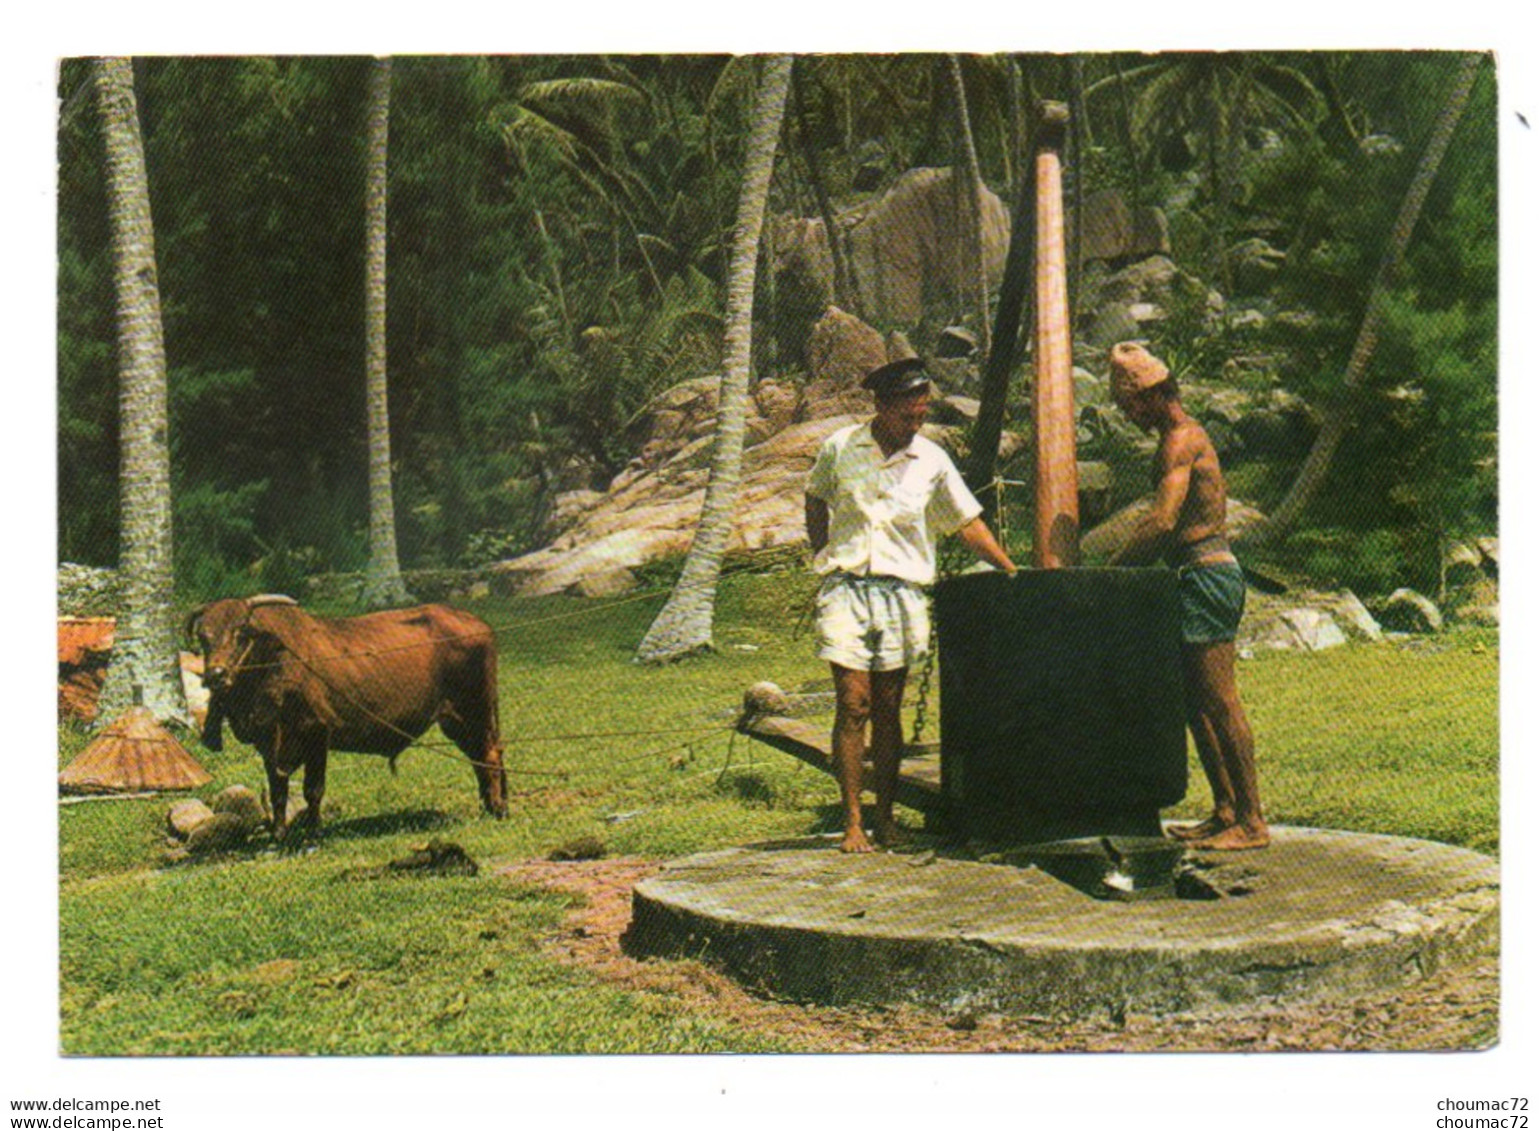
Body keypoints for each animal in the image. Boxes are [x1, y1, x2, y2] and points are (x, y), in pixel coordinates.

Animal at [186, 597, 507, 837]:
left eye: (240, 634)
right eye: (203, 637)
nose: (216, 675)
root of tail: (479, 624)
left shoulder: (317, 731)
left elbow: (312, 790)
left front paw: (313, 831)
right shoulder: (269, 743)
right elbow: (278, 790)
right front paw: (279, 834)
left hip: (473, 711)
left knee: (489, 755)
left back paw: (496, 808)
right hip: (460, 720)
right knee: (481, 758)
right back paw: (488, 806)